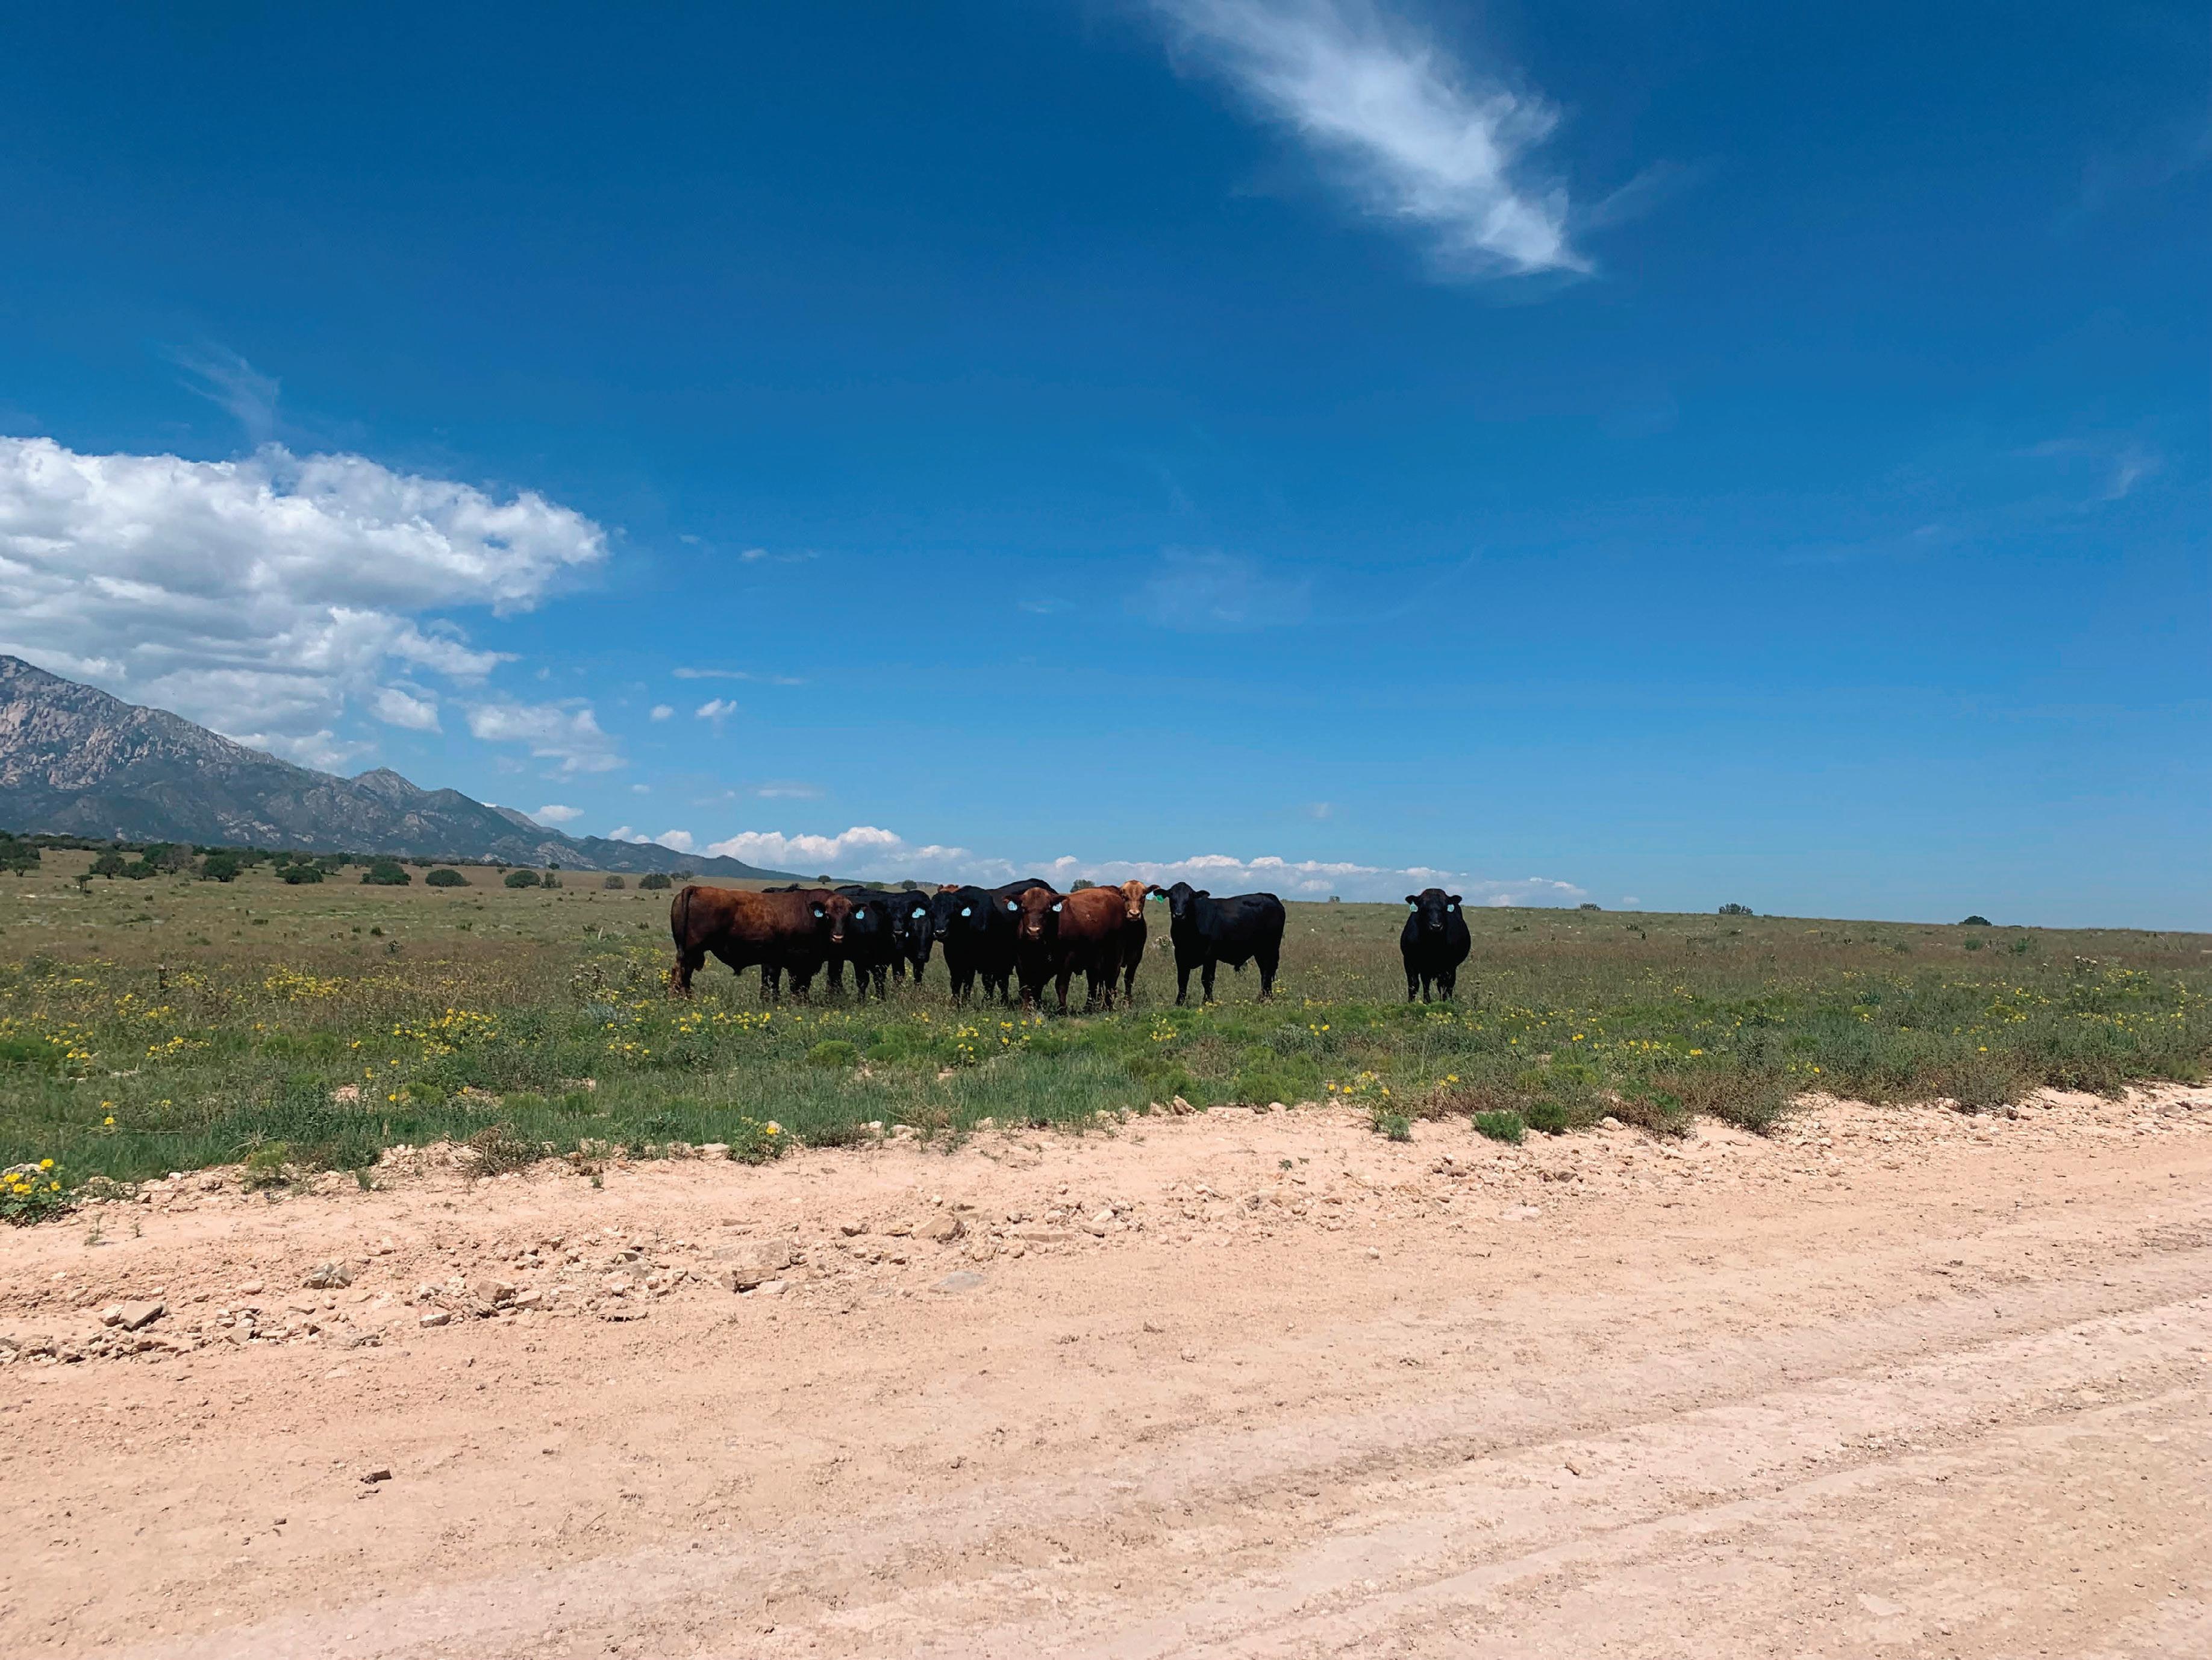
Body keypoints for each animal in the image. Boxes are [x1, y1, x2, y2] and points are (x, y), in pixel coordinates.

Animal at [668, 885, 852, 1001]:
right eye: (828, 915)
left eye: (848, 915)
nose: (838, 936)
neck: (810, 913)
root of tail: (695, 888)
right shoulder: (798, 962)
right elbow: (798, 985)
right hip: (691, 951)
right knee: (681, 972)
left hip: (687, 952)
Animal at [1009, 885, 1127, 1014]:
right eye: (1024, 908)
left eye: (1047, 910)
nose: (1034, 931)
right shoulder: (1022, 961)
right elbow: (1027, 985)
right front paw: (1027, 1009)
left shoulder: (1067, 959)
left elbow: (1061, 985)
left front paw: (1062, 1010)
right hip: (1094, 958)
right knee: (1093, 980)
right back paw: (1088, 1008)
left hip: (1114, 953)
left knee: (1111, 978)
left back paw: (1107, 1006)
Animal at [1151, 882, 1285, 1005]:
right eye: (1171, 895)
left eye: (1190, 896)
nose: (1179, 914)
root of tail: (1268, 896)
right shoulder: (1180, 954)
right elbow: (1182, 979)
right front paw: (1179, 1002)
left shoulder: (1210, 955)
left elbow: (1207, 979)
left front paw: (1207, 1002)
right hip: (1260, 951)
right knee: (1265, 971)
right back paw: (1265, 998)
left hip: (1270, 947)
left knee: (1268, 971)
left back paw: (1265, 999)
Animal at [1399, 888, 1470, 1002]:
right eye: (1423, 907)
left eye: (1445, 907)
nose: (1436, 926)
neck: (1432, 944)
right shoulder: (1409, 961)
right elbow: (1414, 985)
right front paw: (1415, 1002)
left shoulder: (1449, 965)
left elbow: (1445, 986)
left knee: (1447, 985)